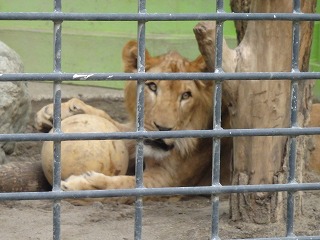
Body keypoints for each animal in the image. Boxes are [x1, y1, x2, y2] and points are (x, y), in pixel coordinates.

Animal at [35, 39, 232, 204]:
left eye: (186, 95)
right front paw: (55, 112)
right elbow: (111, 122)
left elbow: (123, 185)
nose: (163, 128)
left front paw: (82, 185)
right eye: (152, 86)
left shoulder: (168, 181)